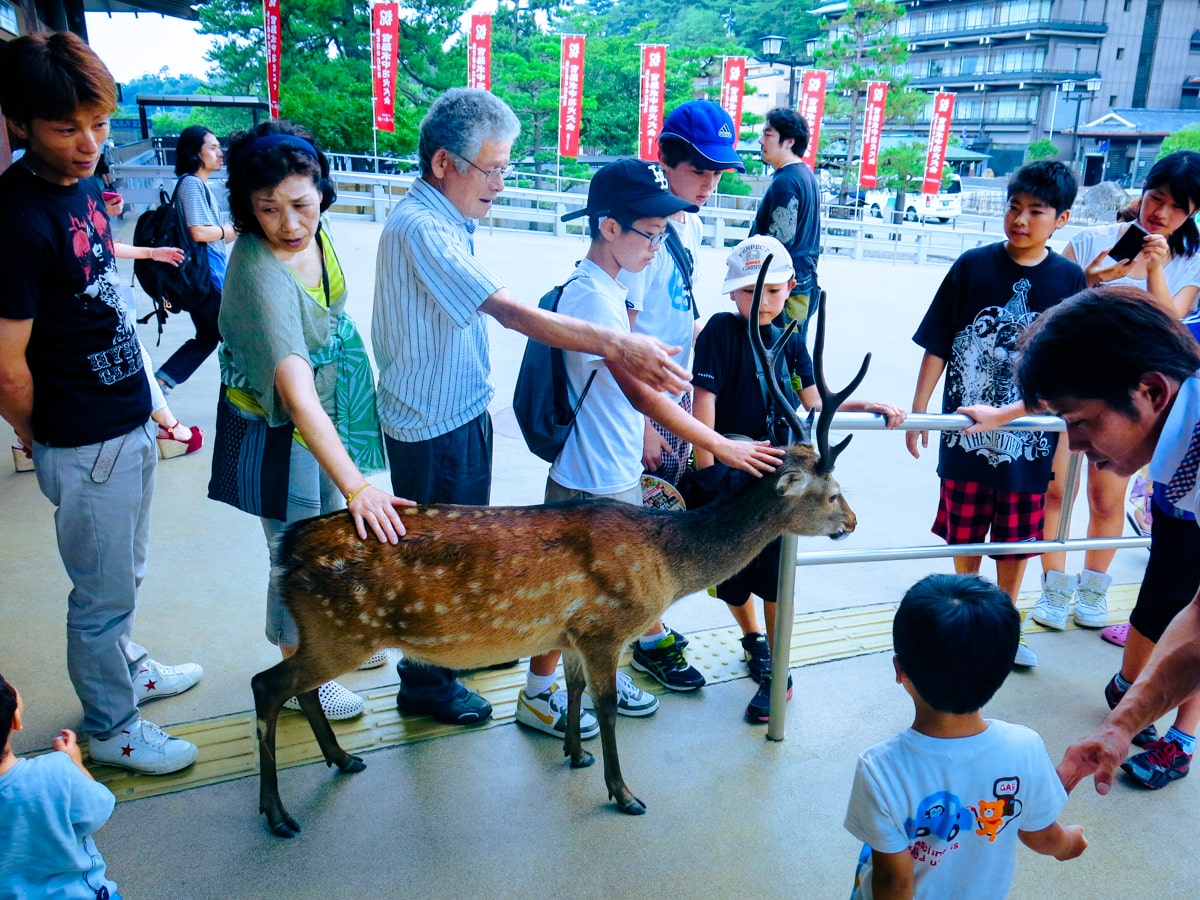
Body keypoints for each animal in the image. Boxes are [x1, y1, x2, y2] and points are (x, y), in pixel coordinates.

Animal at [252, 258, 871, 838]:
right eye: (832, 492)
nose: (854, 521)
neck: (665, 566)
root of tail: (287, 547)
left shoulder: (571, 631)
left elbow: (571, 691)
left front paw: (576, 753)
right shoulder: (604, 627)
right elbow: (607, 710)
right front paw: (625, 794)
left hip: (325, 633)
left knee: (298, 689)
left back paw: (342, 760)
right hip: (341, 630)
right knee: (267, 687)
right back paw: (278, 812)